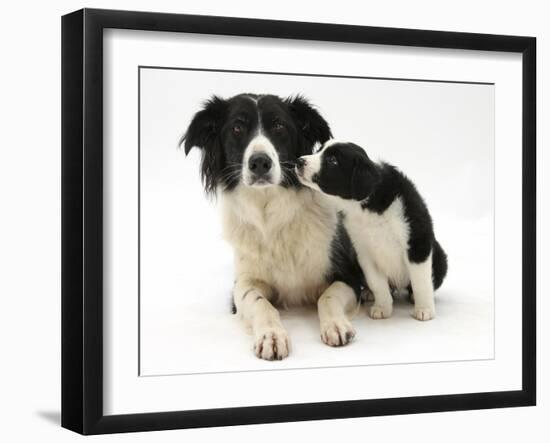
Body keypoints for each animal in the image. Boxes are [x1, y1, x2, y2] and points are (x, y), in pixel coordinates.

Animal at [298, 140, 448, 320]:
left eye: (332, 161)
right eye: (318, 150)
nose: (299, 161)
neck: (367, 203)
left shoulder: (417, 241)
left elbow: (421, 281)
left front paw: (424, 309)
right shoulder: (364, 252)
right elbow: (377, 283)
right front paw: (382, 307)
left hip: (439, 256)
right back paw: (369, 293)